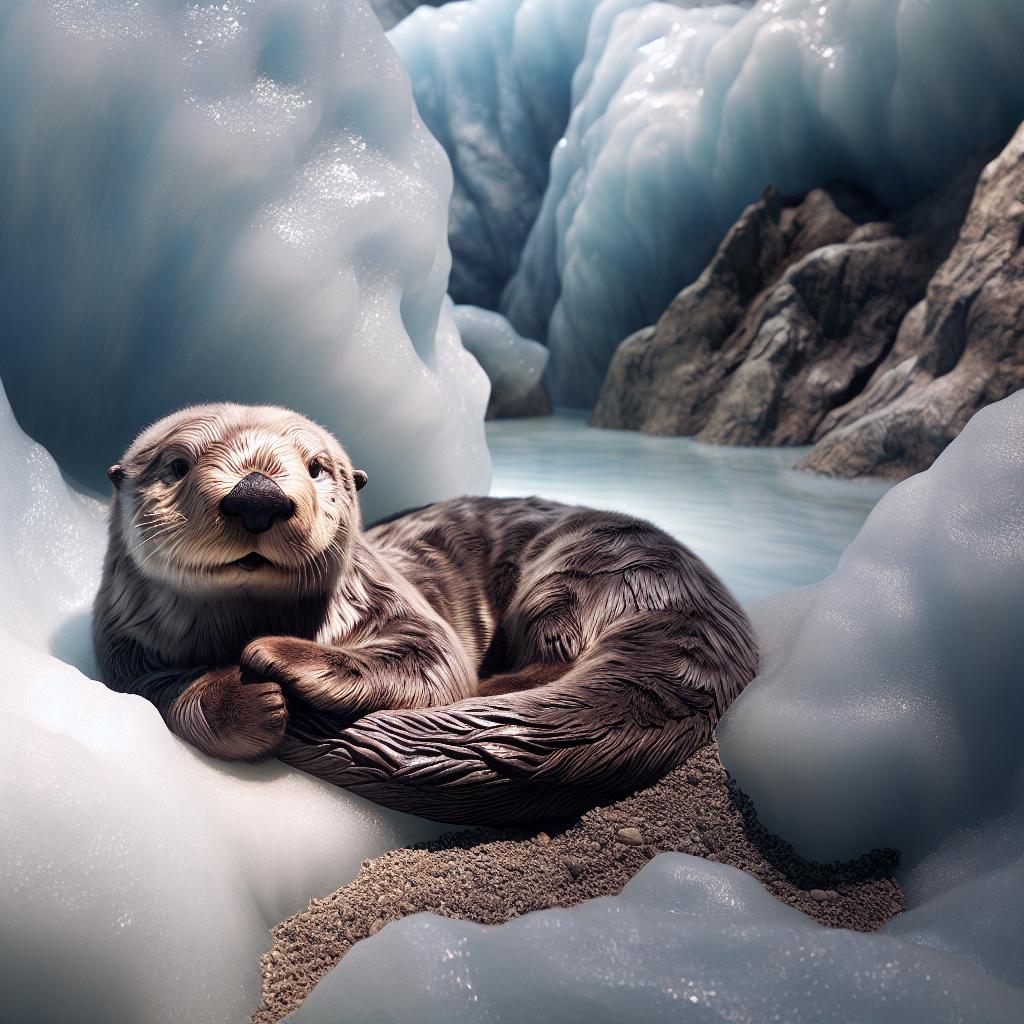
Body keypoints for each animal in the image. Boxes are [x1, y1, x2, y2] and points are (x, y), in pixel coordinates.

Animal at [94, 403, 758, 825]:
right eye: (177, 464)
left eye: (317, 466)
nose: (257, 493)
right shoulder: (128, 654)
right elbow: (169, 693)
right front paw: (241, 699)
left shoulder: (388, 597)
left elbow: (433, 659)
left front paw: (276, 658)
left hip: (579, 572)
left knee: (555, 654)